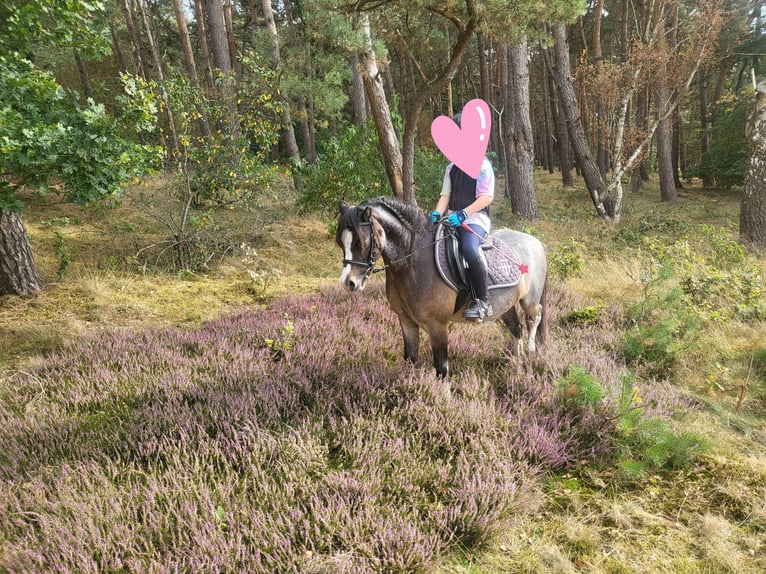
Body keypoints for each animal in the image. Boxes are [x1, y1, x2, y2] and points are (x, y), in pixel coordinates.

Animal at [336, 196, 548, 377]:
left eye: (361, 242)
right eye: (341, 243)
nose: (349, 283)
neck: (412, 261)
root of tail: (535, 241)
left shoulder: (437, 325)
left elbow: (441, 368)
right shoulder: (406, 321)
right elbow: (410, 358)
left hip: (529, 300)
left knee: (535, 315)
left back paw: (530, 348)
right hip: (506, 306)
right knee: (516, 328)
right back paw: (516, 365)